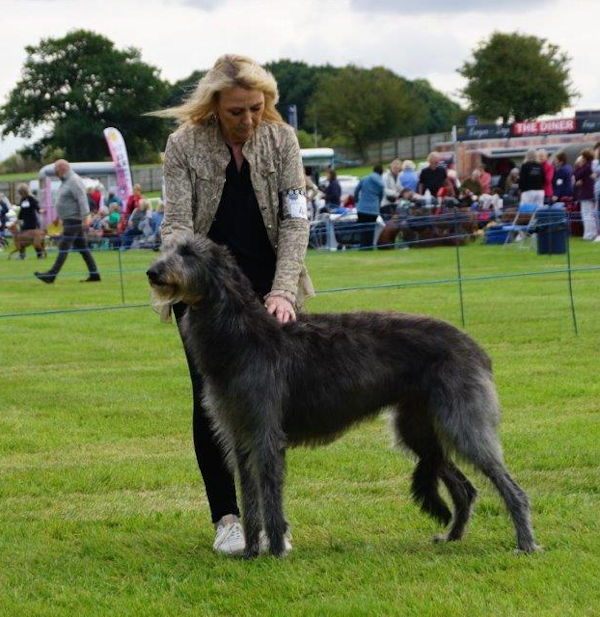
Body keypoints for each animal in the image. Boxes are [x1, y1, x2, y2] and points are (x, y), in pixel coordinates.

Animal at [146, 235, 540, 560]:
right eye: (166, 247)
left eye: (189, 252)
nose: (152, 272)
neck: (242, 335)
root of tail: (476, 348)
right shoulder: (240, 437)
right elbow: (250, 497)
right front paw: (250, 551)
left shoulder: (266, 433)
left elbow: (270, 496)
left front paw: (275, 551)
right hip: (418, 428)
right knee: (465, 488)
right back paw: (452, 536)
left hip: (462, 423)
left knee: (510, 487)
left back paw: (525, 543)